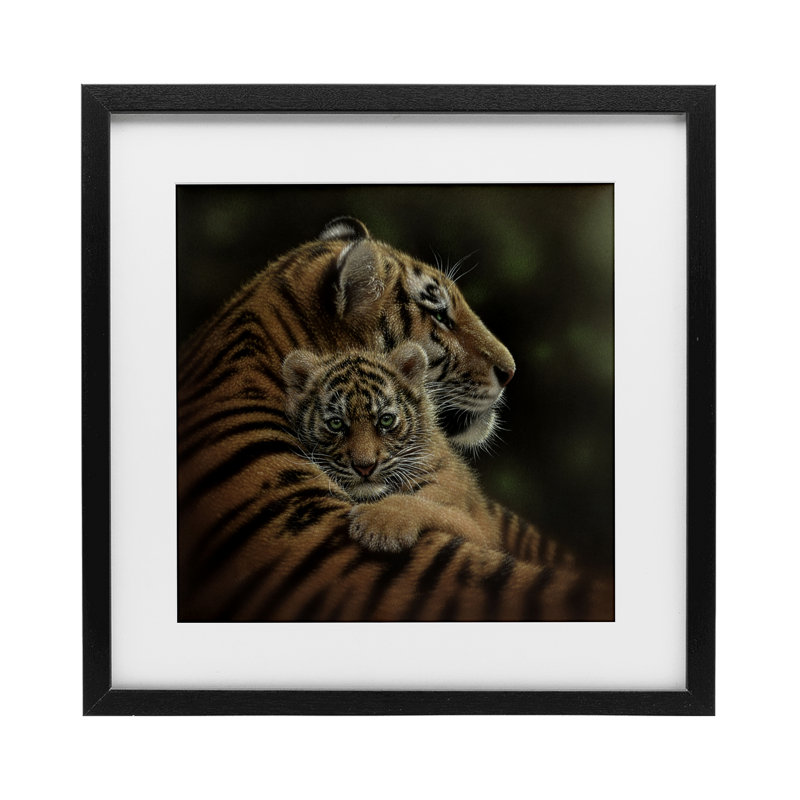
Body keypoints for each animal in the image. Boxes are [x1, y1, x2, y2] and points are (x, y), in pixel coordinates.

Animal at [283, 343, 501, 553]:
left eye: (386, 420)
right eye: (336, 424)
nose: (364, 467)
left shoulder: (476, 530)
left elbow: (428, 506)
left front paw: (380, 524)